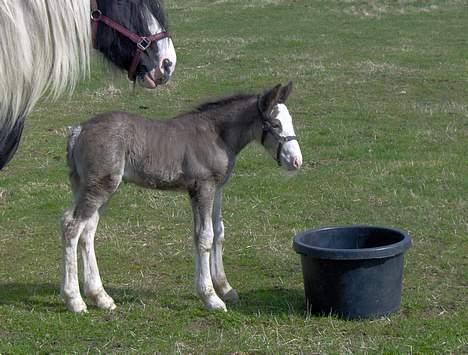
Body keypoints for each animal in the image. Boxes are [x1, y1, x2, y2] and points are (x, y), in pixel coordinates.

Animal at [61, 82, 304, 312]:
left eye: (290, 120)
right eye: (275, 124)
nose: (296, 161)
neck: (216, 134)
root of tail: (79, 130)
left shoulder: (216, 189)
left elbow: (218, 232)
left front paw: (225, 288)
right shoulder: (203, 187)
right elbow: (204, 236)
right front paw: (211, 297)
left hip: (94, 188)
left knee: (87, 231)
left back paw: (101, 297)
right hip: (100, 187)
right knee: (71, 226)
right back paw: (75, 300)